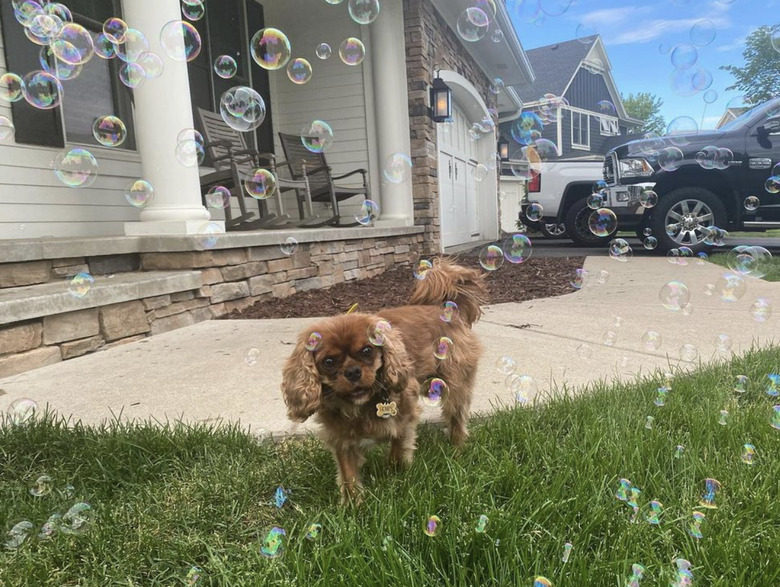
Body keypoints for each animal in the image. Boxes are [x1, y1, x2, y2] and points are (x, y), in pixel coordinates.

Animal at [280, 260, 488, 504]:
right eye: (328, 362)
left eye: (367, 351)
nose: (352, 372)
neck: (361, 405)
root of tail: (446, 309)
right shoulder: (340, 437)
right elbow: (348, 473)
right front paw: (352, 504)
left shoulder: (405, 417)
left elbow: (398, 447)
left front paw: (397, 475)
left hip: (454, 386)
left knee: (457, 418)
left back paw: (456, 450)